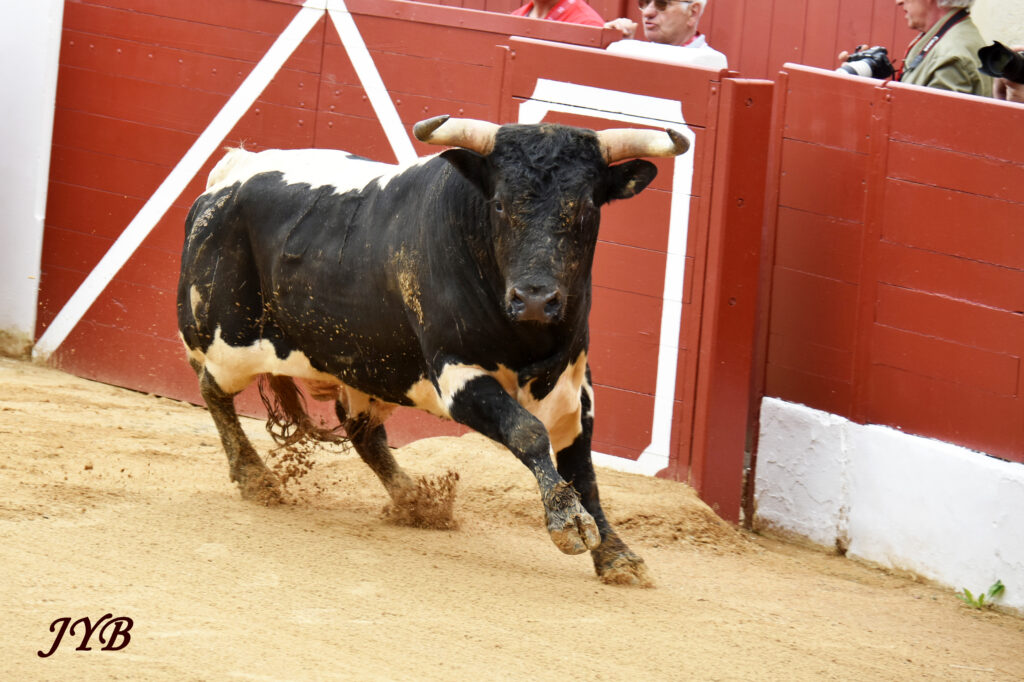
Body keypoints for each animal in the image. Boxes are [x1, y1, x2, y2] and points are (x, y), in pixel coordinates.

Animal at [177, 116, 689, 585]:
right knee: (212, 390)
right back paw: (256, 478)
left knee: (362, 432)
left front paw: (616, 553)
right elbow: (528, 433)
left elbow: (583, 468)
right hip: (225, 342)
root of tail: (228, 177)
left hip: (364, 365)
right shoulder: (458, 375)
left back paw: (414, 500)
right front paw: (568, 523)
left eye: (585, 207)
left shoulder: (575, 385)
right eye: (499, 203)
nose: (535, 298)